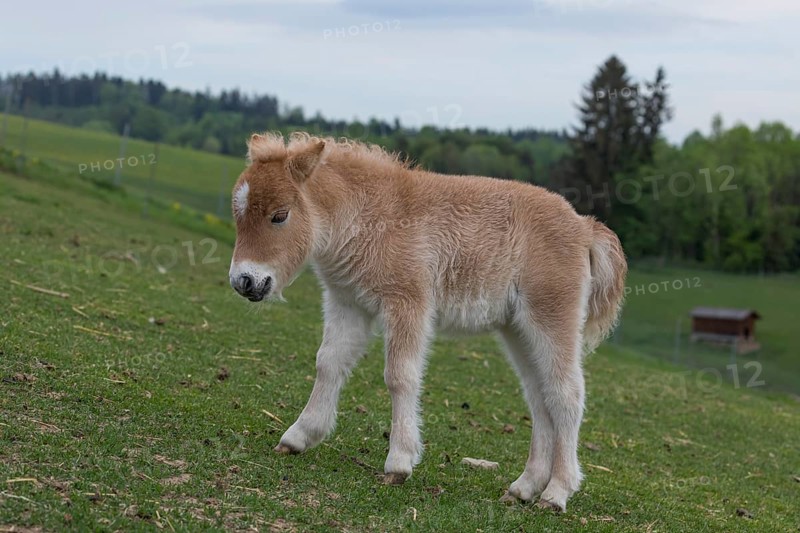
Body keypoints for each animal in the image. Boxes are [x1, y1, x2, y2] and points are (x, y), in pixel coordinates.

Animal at [228, 132, 626, 511]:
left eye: (280, 215)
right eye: (238, 215)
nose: (244, 282)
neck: (370, 215)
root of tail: (584, 227)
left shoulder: (408, 302)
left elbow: (400, 376)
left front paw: (398, 464)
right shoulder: (348, 303)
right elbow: (328, 362)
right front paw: (298, 437)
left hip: (552, 315)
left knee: (566, 394)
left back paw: (556, 493)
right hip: (517, 329)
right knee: (538, 396)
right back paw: (523, 489)